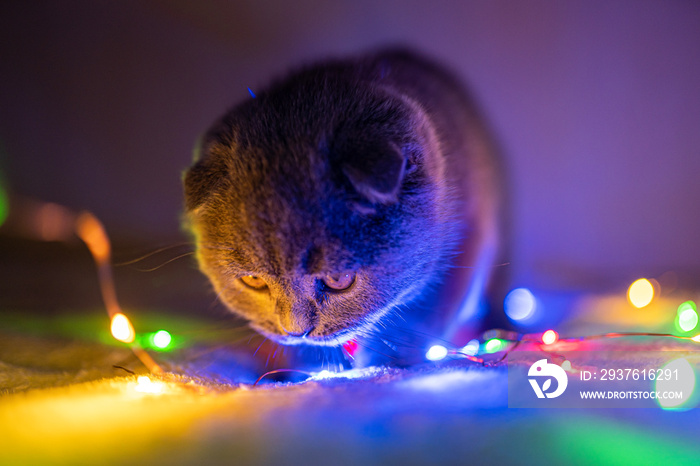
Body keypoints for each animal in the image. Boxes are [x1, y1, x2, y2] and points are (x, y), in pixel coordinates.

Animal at [183, 49, 506, 366]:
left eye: (339, 280)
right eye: (253, 280)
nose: (296, 331)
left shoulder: (467, 238)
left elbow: (420, 315)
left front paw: (387, 366)